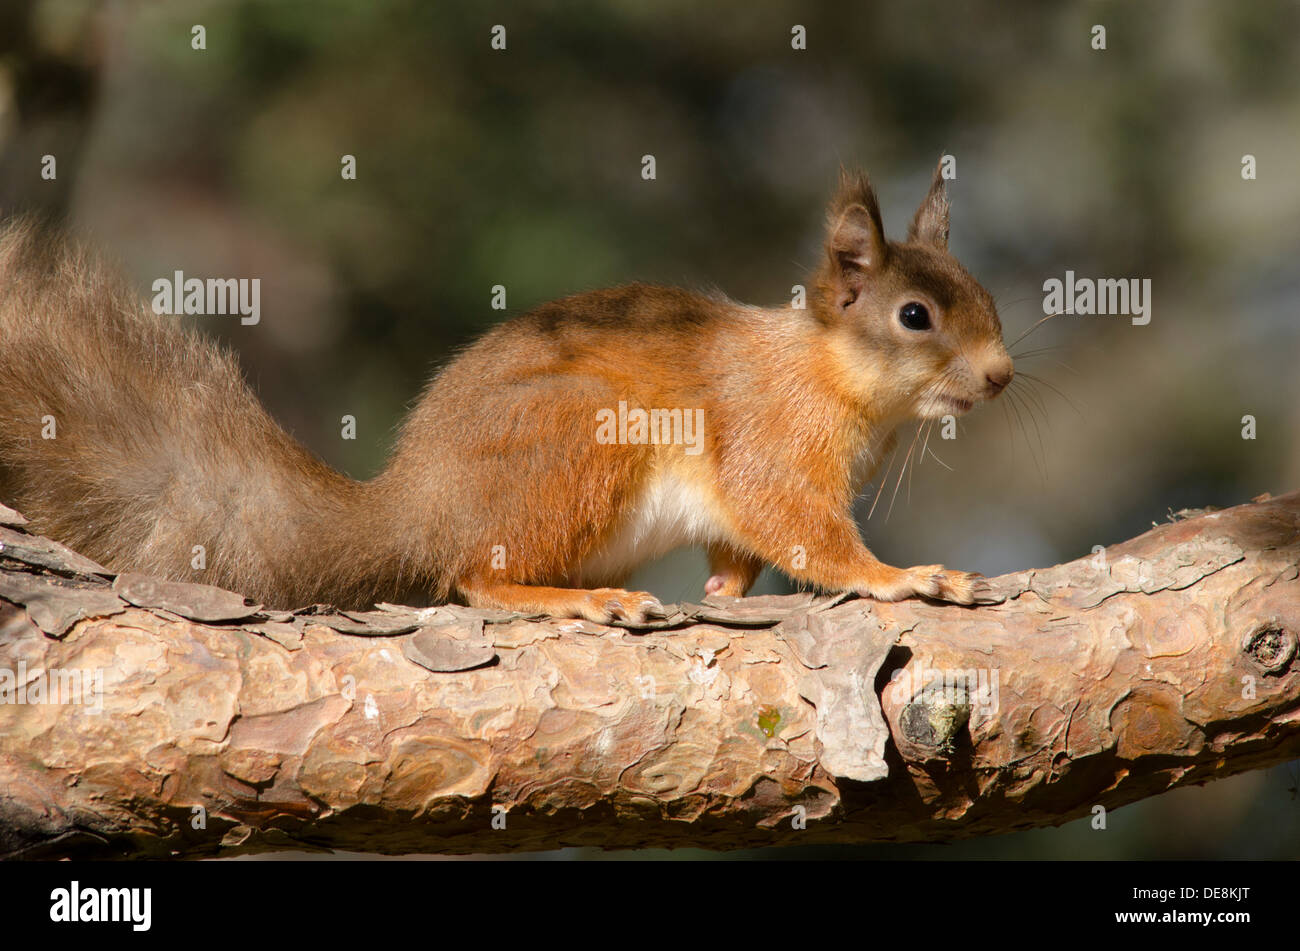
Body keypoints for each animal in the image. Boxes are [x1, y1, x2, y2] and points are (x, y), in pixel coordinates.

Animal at [0, 164, 1013, 621]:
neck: (833, 376)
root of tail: (419, 505)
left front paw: (725, 587)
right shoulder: (771, 441)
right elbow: (801, 528)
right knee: (475, 576)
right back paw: (574, 600)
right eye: (915, 316)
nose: (1002, 376)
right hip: (579, 442)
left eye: (988, 296)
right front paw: (904, 576)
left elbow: (742, 545)